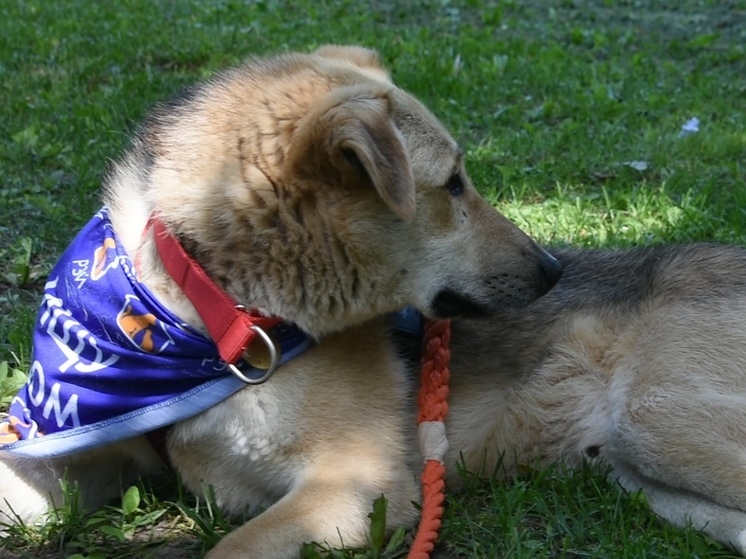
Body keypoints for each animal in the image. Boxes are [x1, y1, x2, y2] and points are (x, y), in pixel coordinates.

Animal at [0, 44, 560, 559]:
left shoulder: (359, 480)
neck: (214, 313)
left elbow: (229, 548)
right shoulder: (62, 453)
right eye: (453, 184)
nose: (553, 268)